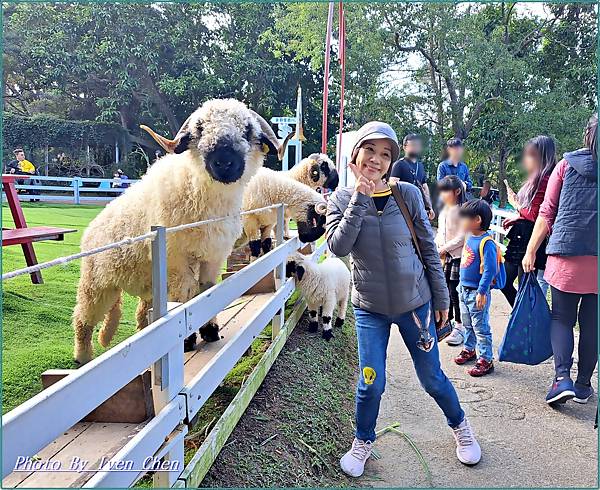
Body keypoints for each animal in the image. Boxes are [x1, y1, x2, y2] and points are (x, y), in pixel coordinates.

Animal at [72, 98, 288, 364]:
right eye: (199, 129)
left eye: (248, 130)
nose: (223, 161)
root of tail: (91, 229)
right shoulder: (175, 261)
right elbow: (186, 296)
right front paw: (186, 341)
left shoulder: (212, 257)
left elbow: (207, 291)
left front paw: (210, 330)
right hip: (97, 284)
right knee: (83, 318)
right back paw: (82, 356)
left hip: (145, 286)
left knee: (141, 313)